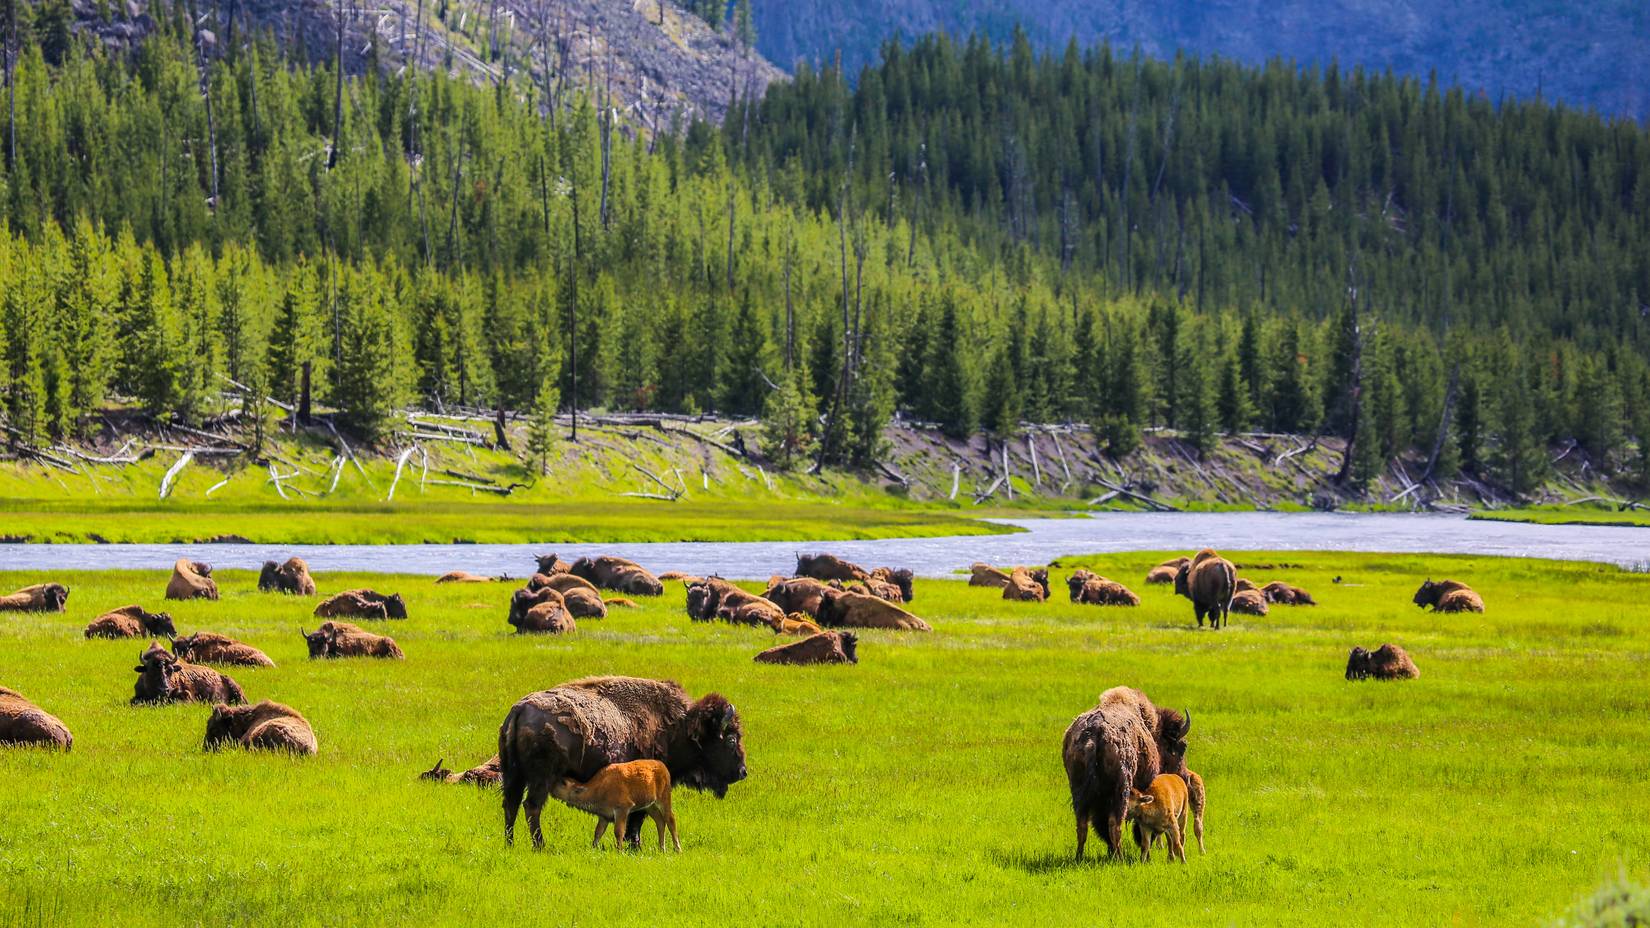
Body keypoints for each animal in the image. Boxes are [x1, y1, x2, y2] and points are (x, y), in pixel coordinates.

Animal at [498, 676, 748, 848]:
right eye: (731, 739)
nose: (742, 771)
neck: (678, 727)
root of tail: (519, 709)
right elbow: (636, 819)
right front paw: (635, 846)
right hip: (541, 778)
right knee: (531, 806)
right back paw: (540, 846)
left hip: (513, 775)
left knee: (511, 805)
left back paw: (510, 844)